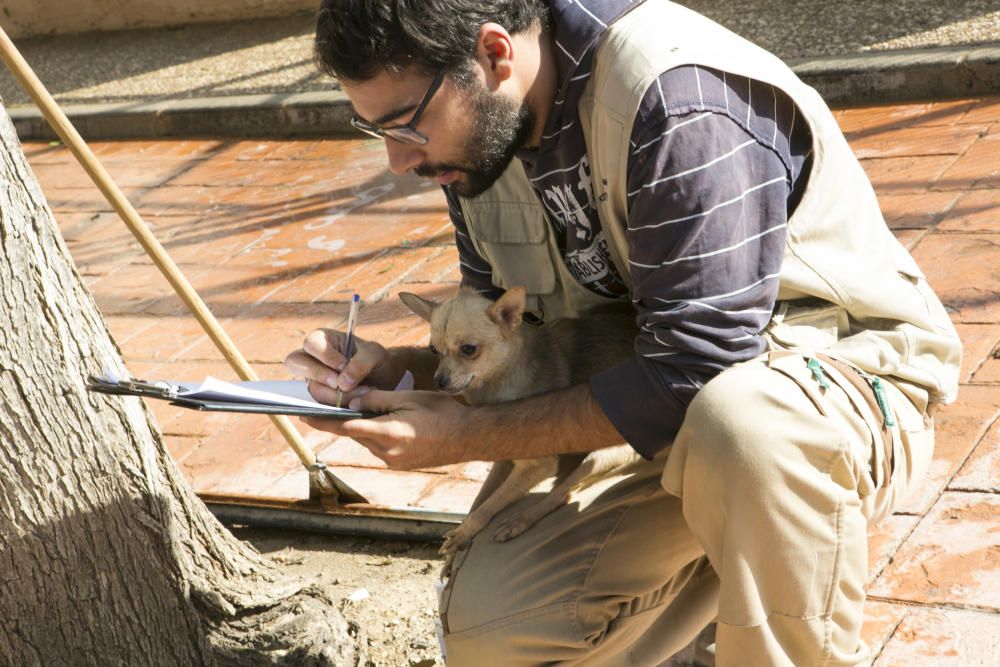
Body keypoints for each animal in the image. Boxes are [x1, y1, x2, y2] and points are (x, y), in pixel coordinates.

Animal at [398, 284, 640, 572]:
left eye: (468, 349)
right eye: (434, 350)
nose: (439, 381)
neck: (496, 387)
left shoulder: (537, 465)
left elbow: (491, 503)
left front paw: (467, 530)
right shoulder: (502, 459)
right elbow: (481, 498)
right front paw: (458, 547)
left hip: (603, 456)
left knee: (564, 492)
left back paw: (522, 519)